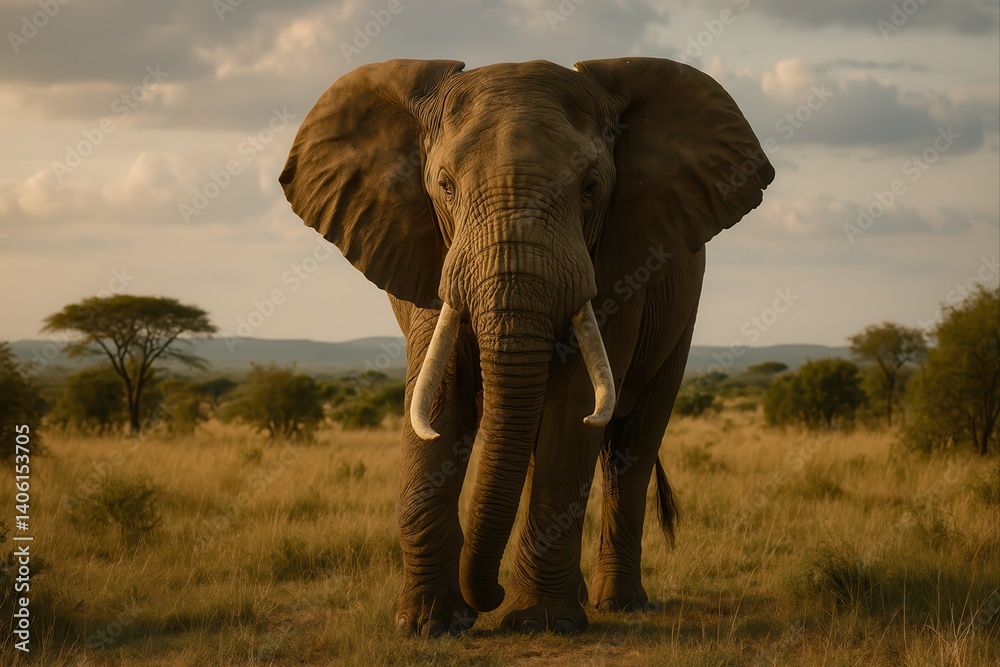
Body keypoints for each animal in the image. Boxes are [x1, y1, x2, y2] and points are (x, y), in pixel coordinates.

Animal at [279, 57, 773, 636]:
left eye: (590, 186)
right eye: (444, 186)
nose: (484, 600)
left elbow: (575, 405)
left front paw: (539, 623)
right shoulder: (431, 254)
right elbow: (440, 395)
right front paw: (427, 626)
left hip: (680, 317)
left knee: (633, 446)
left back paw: (618, 604)